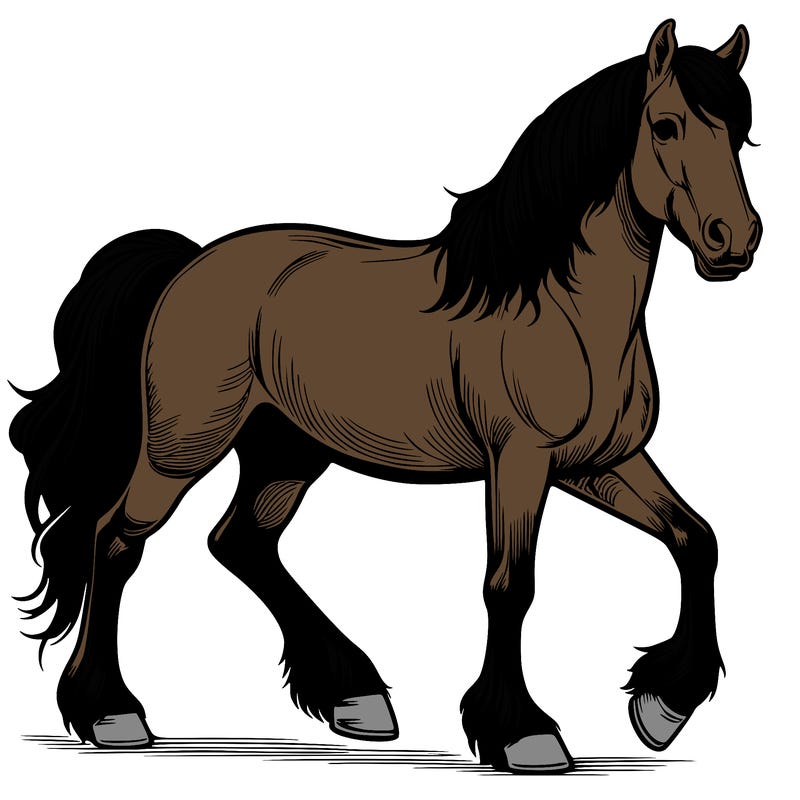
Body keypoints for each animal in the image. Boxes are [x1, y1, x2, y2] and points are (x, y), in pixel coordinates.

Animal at [10, 19, 760, 773]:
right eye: (665, 125)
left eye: (741, 132)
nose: (736, 240)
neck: (557, 307)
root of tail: (188, 264)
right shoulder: (520, 461)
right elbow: (509, 585)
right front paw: (523, 733)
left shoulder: (599, 463)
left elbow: (696, 539)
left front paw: (663, 707)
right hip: (182, 448)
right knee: (115, 540)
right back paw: (112, 714)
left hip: (286, 451)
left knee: (241, 542)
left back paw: (354, 696)